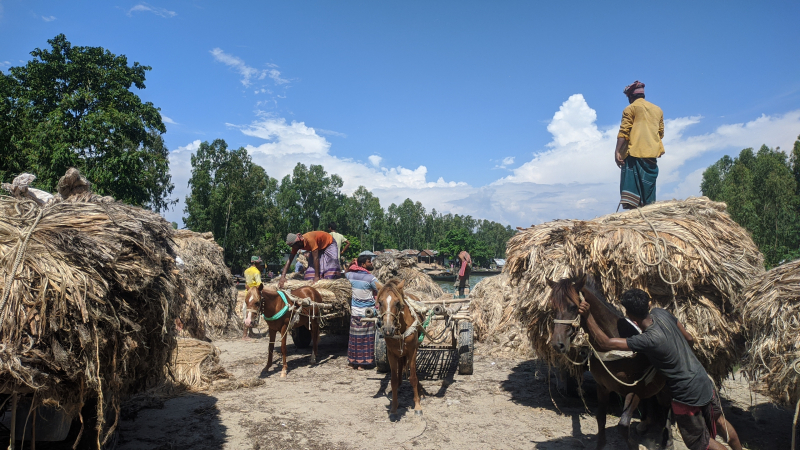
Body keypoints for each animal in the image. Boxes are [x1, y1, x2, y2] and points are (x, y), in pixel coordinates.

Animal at [376, 280, 424, 420]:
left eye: (397, 303)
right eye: (380, 302)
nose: (388, 329)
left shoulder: (412, 351)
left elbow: (413, 378)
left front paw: (417, 406)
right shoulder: (391, 353)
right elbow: (393, 380)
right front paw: (394, 407)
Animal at [548, 274, 672, 450]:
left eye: (573, 307)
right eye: (552, 308)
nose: (557, 344)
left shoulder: (634, 390)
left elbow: (623, 425)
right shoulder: (603, 386)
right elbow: (601, 418)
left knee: (668, 407)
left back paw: (666, 439)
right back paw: (645, 424)